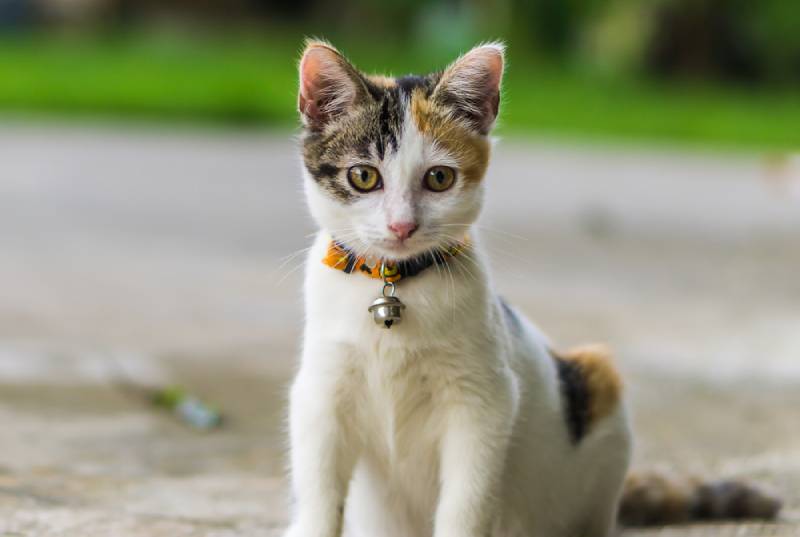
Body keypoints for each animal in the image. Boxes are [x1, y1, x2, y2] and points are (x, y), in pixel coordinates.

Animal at [288, 39, 780, 532]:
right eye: (364, 176)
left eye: (439, 178)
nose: (402, 226)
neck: (394, 284)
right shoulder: (321, 392)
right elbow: (320, 489)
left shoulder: (484, 401)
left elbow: (466, 501)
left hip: (597, 386)